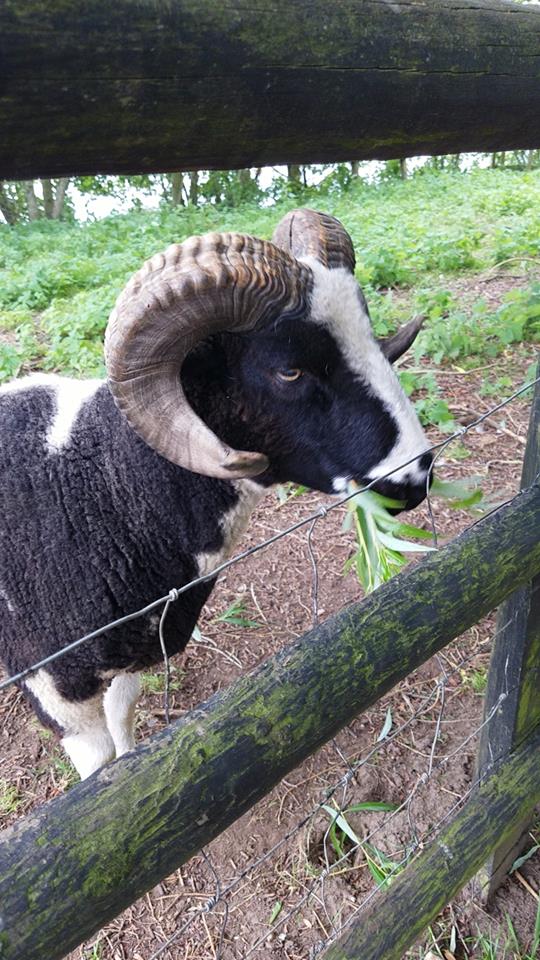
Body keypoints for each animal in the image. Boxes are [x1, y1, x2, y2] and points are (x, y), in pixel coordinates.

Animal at [0, 209, 433, 780]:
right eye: (288, 369)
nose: (417, 477)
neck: (95, 491)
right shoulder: (56, 688)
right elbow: (98, 765)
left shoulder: (138, 648)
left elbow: (124, 719)